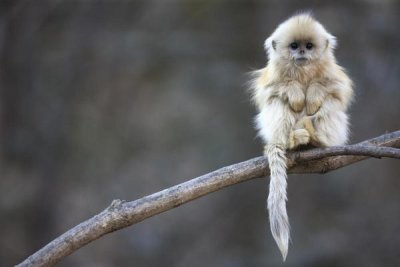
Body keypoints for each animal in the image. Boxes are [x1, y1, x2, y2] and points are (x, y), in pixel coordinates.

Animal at [250, 13, 354, 262]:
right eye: (294, 46)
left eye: (309, 46)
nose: (302, 54)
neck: (303, 71)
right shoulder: (272, 76)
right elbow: (271, 91)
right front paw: (296, 92)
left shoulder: (333, 73)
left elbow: (337, 90)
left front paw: (314, 93)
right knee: (277, 102)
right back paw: (292, 140)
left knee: (331, 103)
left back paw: (316, 139)